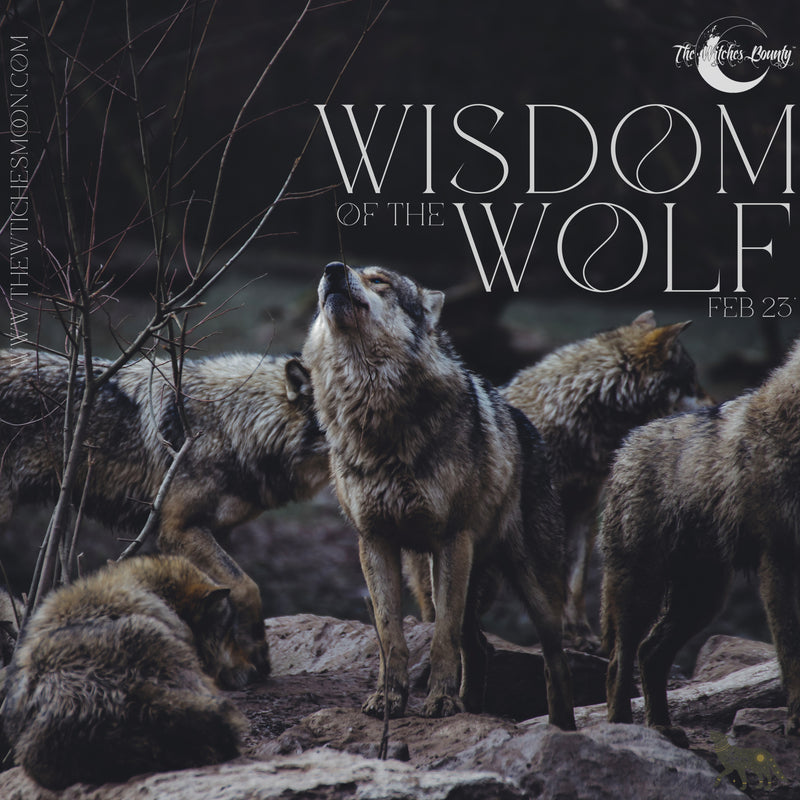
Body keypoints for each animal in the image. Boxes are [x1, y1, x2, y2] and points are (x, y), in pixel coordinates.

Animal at [0, 349, 330, 687]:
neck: (233, 425)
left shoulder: (218, 531)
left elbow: (224, 598)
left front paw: (237, 663)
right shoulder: (178, 529)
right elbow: (246, 587)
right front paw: (257, 655)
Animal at [301, 261, 575, 728]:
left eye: (379, 280)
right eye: (340, 272)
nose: (333, 270)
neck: (374, 412)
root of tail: (527, 424)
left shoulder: (451, 540)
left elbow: (442, 639)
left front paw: (442, 703)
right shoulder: (374, 542)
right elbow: (390, 635)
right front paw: (388, 700)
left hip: (532, 587)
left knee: (552, 661)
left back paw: (561, 728)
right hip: (430, 579)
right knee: (479, 647)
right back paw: (474, 707)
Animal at [601, 338, 800, 742]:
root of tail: (625, 446)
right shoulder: (778, 559)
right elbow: (790, 649)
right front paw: (796, 721)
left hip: (702, 600)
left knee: (650, 653)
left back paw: (662, 727)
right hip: (643, 590)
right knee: (619, 660)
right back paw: (625, 729)